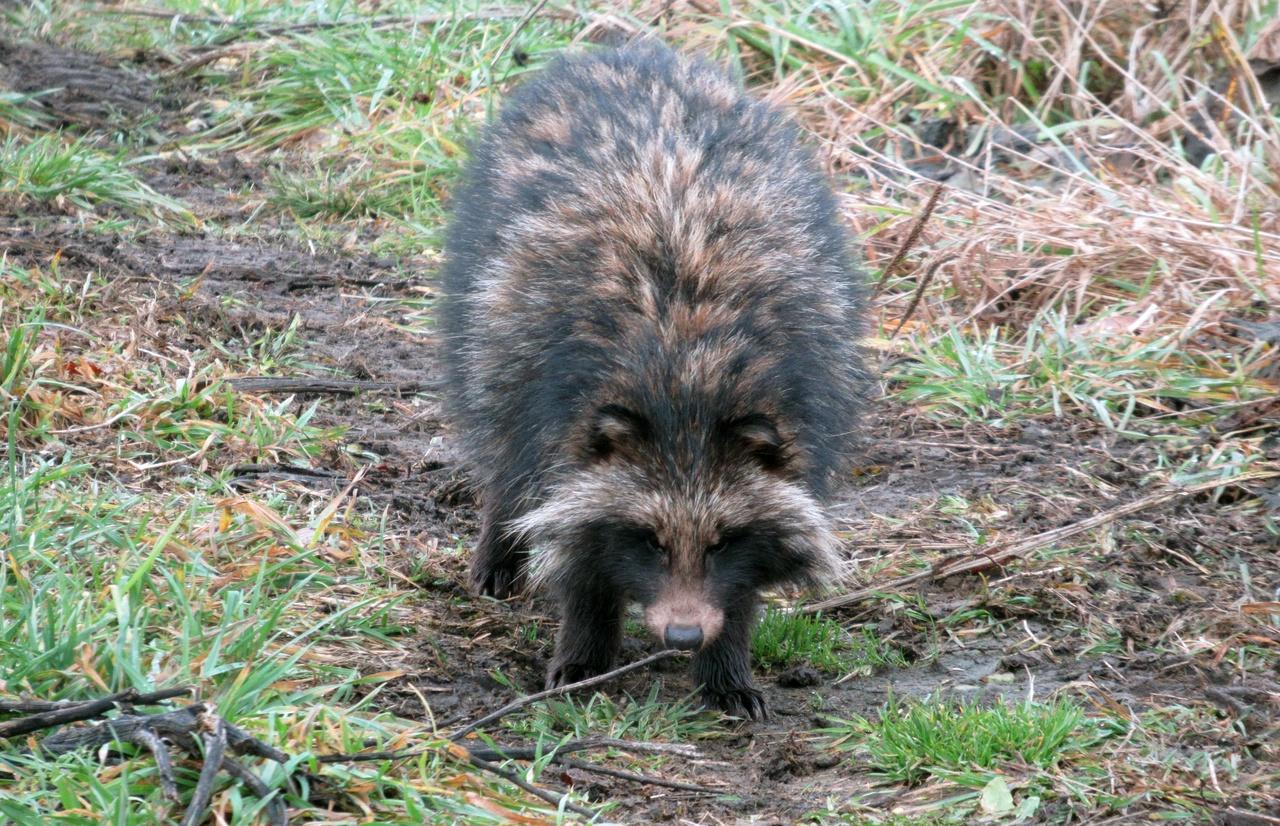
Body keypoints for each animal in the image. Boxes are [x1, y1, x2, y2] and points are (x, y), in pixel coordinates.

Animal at [440, 40, 870, 717]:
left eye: (722, 542)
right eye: (648, 540)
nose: (685, 635)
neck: (688, 375)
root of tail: (631, 54)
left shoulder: (807, 407)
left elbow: (751, 571)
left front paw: (727, 662)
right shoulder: (558, 413)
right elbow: (574, 545)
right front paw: (585, 644)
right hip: (485, 320)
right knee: (501, 440)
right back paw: (499, 538)